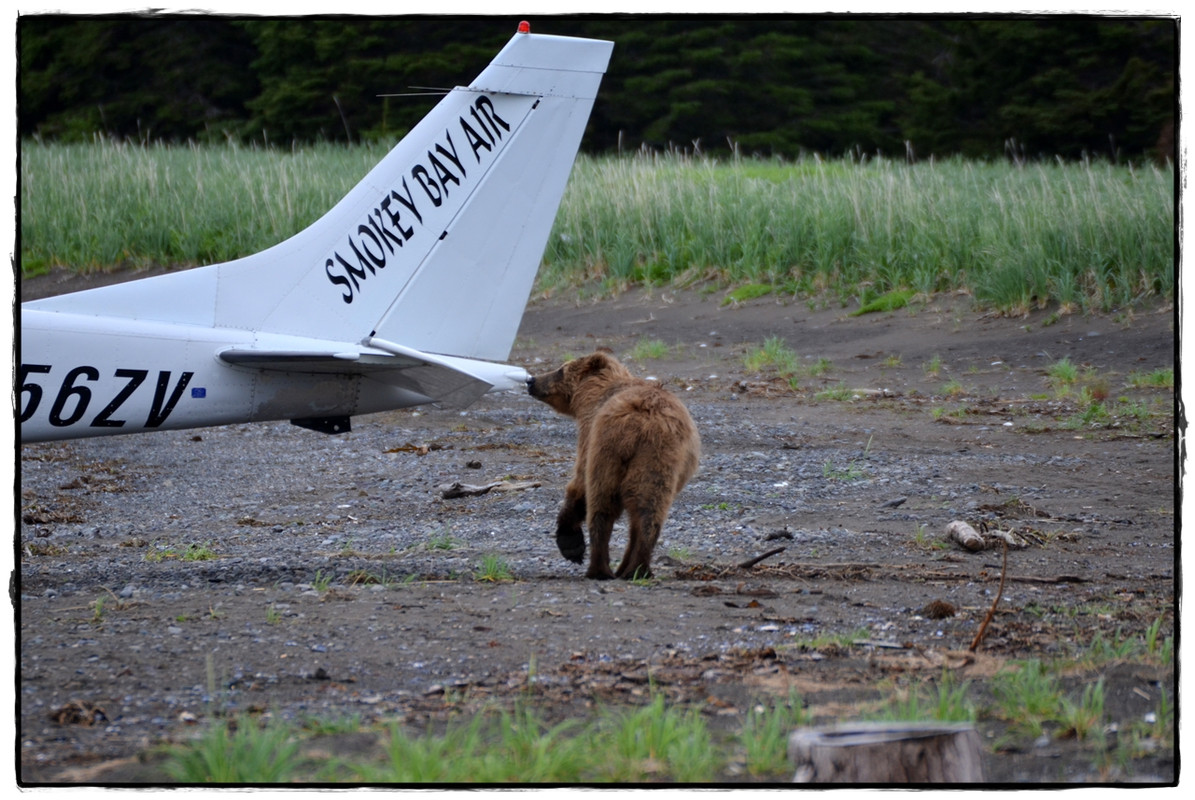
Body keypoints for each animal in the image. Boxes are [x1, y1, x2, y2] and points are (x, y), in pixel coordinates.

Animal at [523, 351, 697, 576]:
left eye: (561, 369)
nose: (531, 380)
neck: (591, 394)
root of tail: (640, 423)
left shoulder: (589, 431)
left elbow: (579, 482)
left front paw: (571, 544)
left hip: (608, 450)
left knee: (601, 503)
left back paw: (598, 569)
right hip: (658, 458)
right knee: (649, 511)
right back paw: (636, 568)